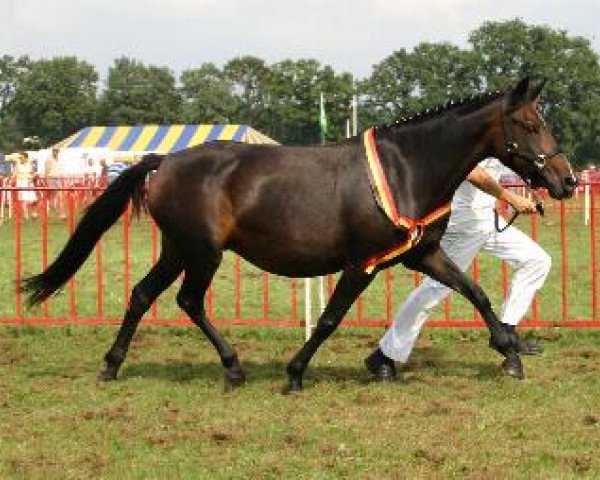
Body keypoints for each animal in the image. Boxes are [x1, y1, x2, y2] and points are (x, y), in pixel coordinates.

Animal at [22, 79, 576, 392]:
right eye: (529, 124)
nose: (567, 181)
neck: (406, 168)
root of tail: (163, 162)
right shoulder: (361, 263)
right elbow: (329, 319)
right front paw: (294, 373)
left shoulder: (424, 254)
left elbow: (475, 291)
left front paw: (509, 354)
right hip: (203, 252)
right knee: (187, 301)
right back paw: (232, 368)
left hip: (181, 249)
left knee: (143, 295)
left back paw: (113, 366)